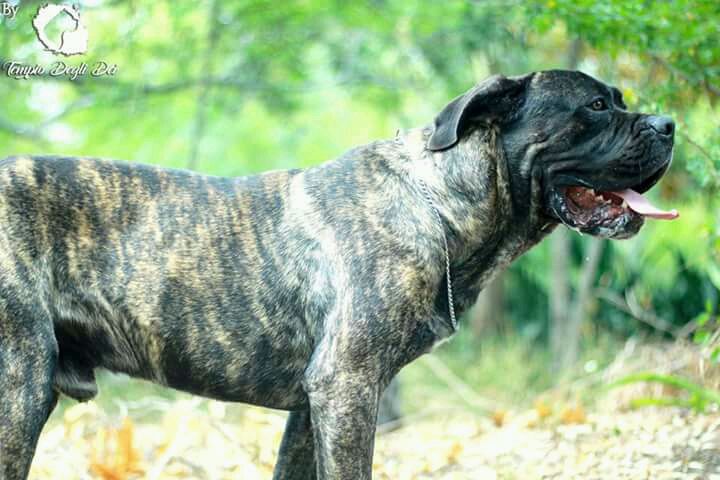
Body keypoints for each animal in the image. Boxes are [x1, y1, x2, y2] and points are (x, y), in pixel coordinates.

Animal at [0, 69, 676, 478]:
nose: (669, 125)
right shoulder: (346, 388)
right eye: (595, 106)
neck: (435, 203)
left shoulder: (312, 406)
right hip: (20, 391)